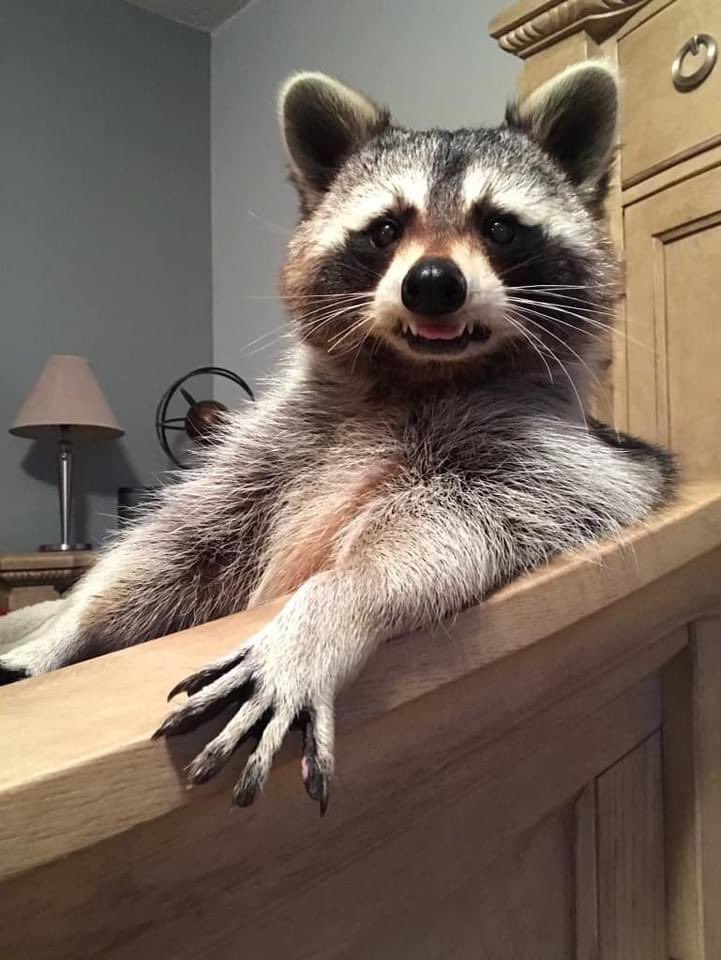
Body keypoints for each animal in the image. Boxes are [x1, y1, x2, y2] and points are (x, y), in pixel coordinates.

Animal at [0, 63, 676, 808]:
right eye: (384, 229)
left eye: (499, 227)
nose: (431, 283)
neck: (421, 373)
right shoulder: (270, 444)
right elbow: (173, 545)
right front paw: (71, 626)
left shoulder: (562, 466)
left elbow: (453, 530)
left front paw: (333, 605)